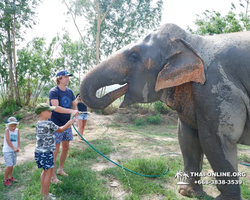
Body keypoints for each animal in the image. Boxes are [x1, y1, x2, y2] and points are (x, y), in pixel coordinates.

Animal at [80, 23, 250, 198]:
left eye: (134, 56)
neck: (192, 41)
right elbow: (187, 136)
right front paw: (186, 192)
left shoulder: (218, 88)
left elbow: (217, 138)